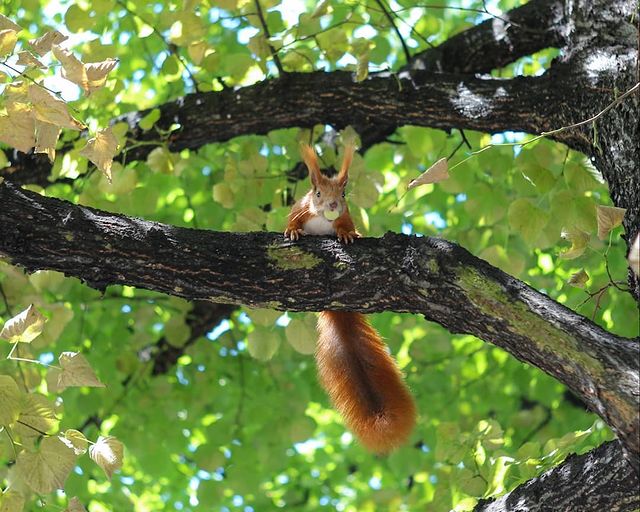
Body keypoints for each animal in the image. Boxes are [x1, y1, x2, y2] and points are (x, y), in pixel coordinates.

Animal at [284, 143, 416, 453]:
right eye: (318, 193)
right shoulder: (300, 209)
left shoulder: (346, 216)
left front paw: (347, 234)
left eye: (343, 194)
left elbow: (347, 226)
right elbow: (291, 221)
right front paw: (293, 231)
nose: (333, 206)